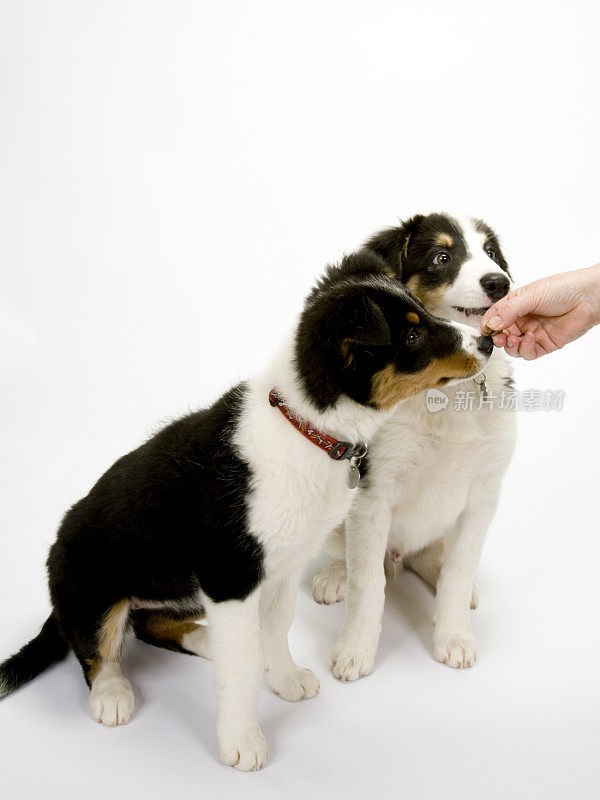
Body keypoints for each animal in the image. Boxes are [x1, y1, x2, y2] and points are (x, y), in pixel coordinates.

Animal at [0, 248, 492, 768]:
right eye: (413, 334)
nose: (487, 341)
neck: (308, 430)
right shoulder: (230, 577)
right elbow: (241, 666)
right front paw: (243, 743)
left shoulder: (280, 567)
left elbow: (274, 633)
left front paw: (286, 680)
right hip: (91, 583)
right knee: (97, 648)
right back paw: (113, 694)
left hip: (179, 588)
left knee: (151, 623)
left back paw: (202, 638)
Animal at [314, 214, 516, 676]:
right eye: (442, 257)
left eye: (491, 253)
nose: (500, 282)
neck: (446, 388)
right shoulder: (372, 494)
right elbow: (368, 582)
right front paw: (355, 649)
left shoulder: (484, 493)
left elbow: (458, 571)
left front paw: (454, 637)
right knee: (347, 556)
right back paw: (335, 576)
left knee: (433, 559)